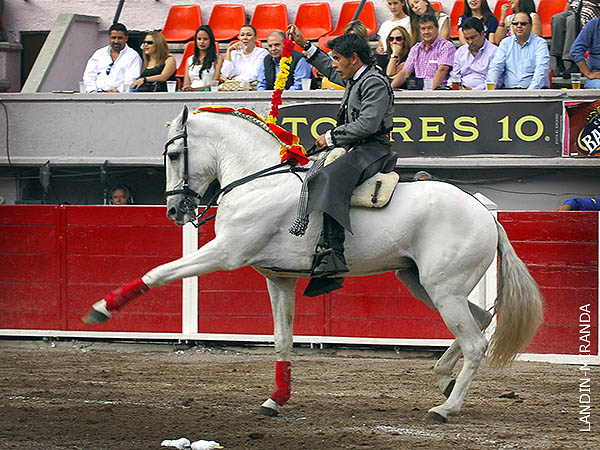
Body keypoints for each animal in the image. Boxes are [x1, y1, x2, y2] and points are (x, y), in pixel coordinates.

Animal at [84, 107, 544, 424]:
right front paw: (275, 399)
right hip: (420, 281)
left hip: (442, 288)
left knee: (476, 342)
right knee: (480, 320)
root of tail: (485, 212)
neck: (258, 179)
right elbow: (282, 339)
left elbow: (161, 271)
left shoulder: (225, 251)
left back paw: (445, 408)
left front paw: (103, 308)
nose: (174, 211)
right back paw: (444, 377)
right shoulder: (279, 280)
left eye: (175, 153)